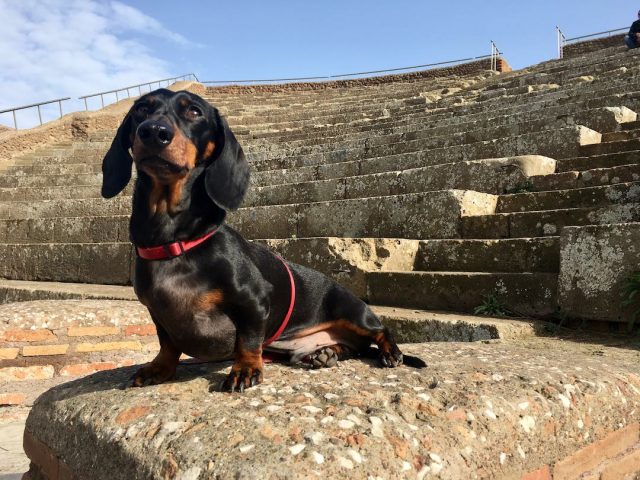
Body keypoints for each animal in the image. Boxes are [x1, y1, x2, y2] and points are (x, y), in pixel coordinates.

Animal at [101, 88, 424, 392]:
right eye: (142, 109)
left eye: (193, 111)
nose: (154, 131)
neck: (176, 243)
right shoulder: (157, 312)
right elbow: (167, 344)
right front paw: (160, 369)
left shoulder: (254, 300)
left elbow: (248, 340)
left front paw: (245, 370)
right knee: (353, 349)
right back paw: (325, 353)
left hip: (353, 312)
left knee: (380, 332)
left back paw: (389, 352)